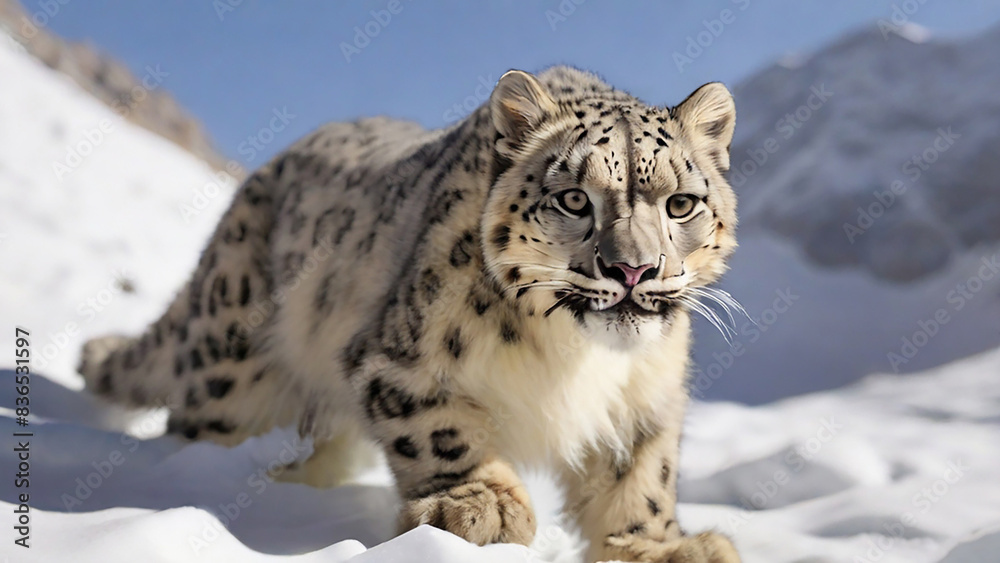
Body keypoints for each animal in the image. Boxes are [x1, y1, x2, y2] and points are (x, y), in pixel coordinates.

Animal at [78, 66, 742, 562]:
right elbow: (440, 430)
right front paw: (480, 506)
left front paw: (664, 547)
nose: (634, 270)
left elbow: (644, 475)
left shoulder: (647, 397)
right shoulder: (399, 364)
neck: (579, 359)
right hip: (231, 371)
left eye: (681, 204)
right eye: (575, 199)